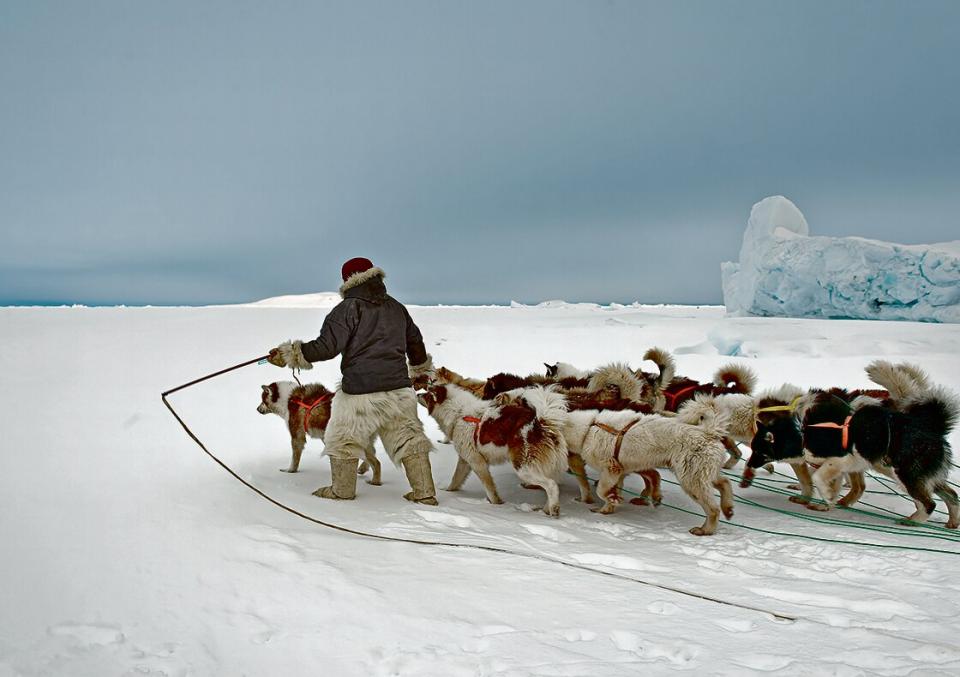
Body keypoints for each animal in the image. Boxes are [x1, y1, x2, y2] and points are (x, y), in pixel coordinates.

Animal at [416, 382, 568, 516]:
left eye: (428, 394)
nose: (417, 394)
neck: (459, 413)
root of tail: (540, 424)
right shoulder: (465, 460)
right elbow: (455, 479)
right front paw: (448, 491)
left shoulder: (477, 462)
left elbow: (490, 488)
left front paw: (496, 505)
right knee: (552, 486)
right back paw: (547, 510)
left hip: (524, 468)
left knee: (552, 485)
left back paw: (553, 510)